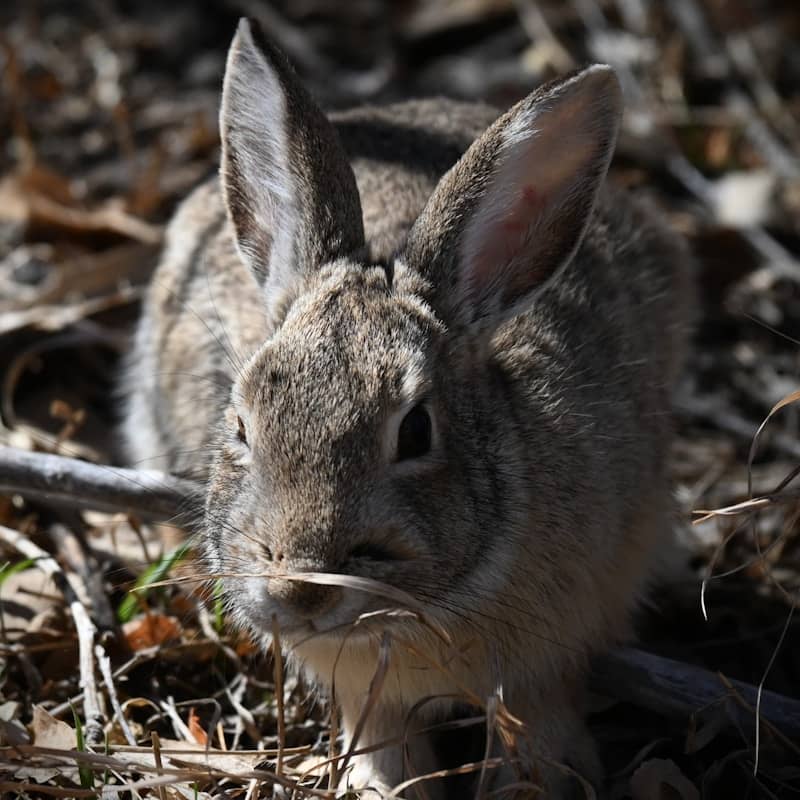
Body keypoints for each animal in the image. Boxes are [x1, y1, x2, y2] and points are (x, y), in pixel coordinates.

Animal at [120, 17, 694, 799]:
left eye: (416, 431)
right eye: (240, 425)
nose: (298, 592)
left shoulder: (548, 666)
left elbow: (537, 731)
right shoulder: (368, 694)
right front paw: (380, 785)